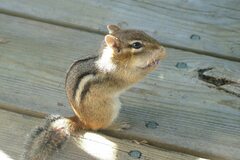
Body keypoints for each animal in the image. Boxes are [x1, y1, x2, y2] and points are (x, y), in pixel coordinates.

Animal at [22, 24, 165, 159]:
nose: (161, 48)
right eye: (136, 45)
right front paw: (153, 64)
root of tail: (82, 121)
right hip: (110, 108)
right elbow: (136, 77)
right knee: (99, 127)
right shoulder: (121, 75)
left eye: (143, 32)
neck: (111, 58)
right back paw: (118, 125)